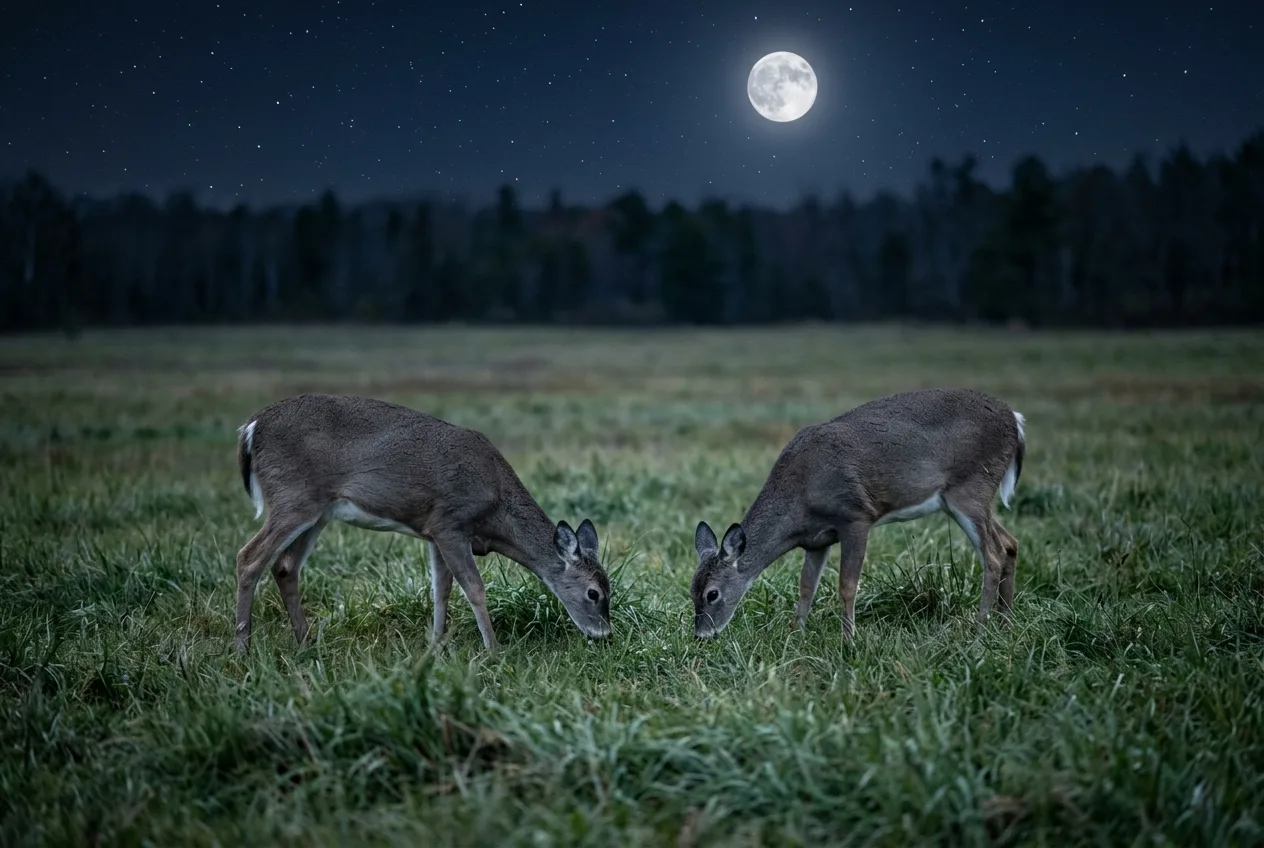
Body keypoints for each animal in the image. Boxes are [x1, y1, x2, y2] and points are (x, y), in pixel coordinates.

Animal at [231, 393, 613, 654]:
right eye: (593, 593)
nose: (605, 635)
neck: (495, 507)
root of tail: (251, 428)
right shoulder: (449, 523)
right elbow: (474, 588)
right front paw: (494, 651)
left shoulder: (434, 533)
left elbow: (440, 590)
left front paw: (435, 645)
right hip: (292, 496)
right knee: (249, 557)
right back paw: (242, 649)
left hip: (317, 511)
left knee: (285, 566)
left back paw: (306, 643)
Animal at [690, 387, 1026, 641]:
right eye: (691, 590)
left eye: (712, 594)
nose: (701, 636)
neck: (800, 498)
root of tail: (1015, 420)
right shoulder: (817, 540)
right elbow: (806, 588)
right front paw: (795, 636)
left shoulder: (855, 516)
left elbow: (847, 585)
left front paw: (849, 641)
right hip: (968, 496)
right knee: (1010, 543)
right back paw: (1006, 621)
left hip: (970, 486)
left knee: (993, 554)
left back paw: (980, 629)